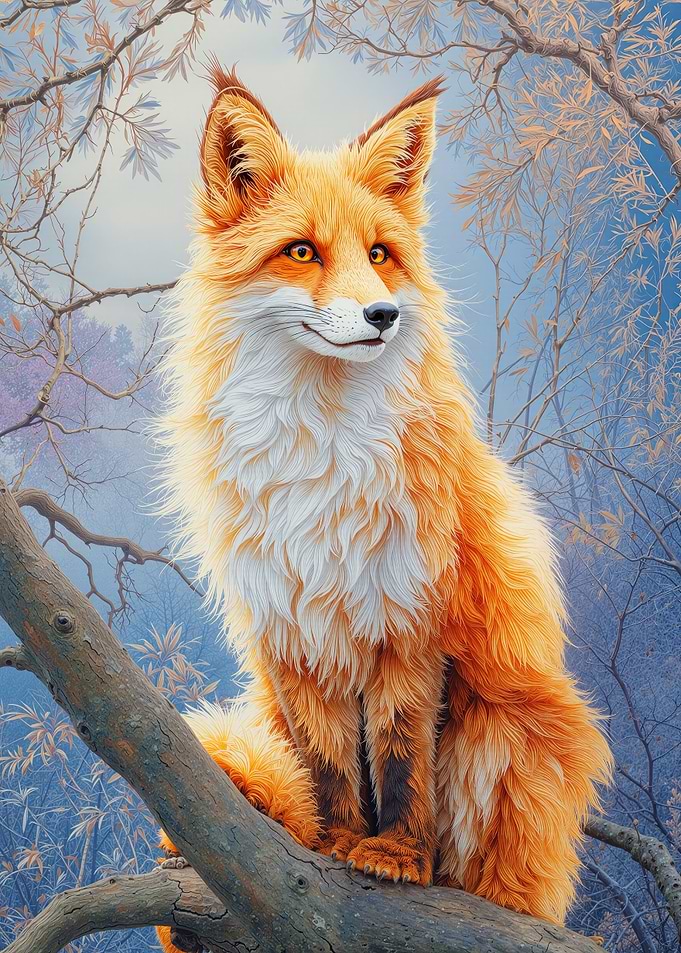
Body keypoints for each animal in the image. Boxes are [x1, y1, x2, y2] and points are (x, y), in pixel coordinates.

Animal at [154, 64, 612, 953]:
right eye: (302, 251)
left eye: (378, 255)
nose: (383, 315)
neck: (319, 450)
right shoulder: (295, 631)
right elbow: (330, 765)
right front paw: (334, 845)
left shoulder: (409, 619)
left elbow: (400, 758)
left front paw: (398, 858)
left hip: (499, 735)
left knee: (496, 873)